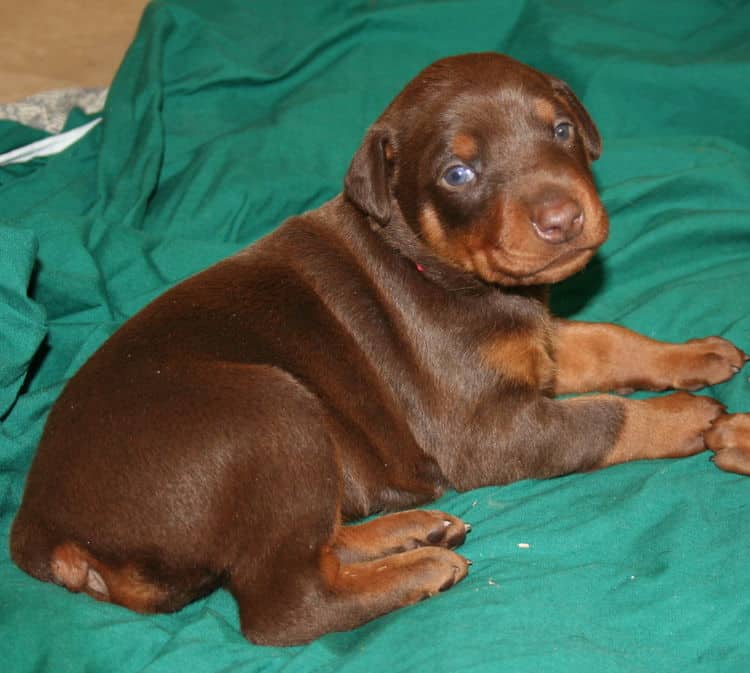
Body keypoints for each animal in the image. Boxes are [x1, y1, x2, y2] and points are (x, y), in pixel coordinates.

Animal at [10, 53, 750, 644]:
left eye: (561, 130)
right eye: (457, 173)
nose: (562, 218)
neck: (436, 269)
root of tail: (42, 532)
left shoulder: (534, 343)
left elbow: (607, 339)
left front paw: (696, 355)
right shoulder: (488, 431)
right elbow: (599, 417)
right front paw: (690, 415)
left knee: (315, 543)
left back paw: (410, 534)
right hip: (270, 410)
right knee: (286, 605)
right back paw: (419, 566)